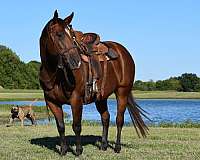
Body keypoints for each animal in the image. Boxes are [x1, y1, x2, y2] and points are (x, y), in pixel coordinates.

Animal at [39, 10, 148, 156]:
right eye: (59, 34)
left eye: (72, 36)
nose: (76, 61)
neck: (54, 75)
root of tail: (124, 52)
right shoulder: (52, 102)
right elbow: (61, 126)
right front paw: (63, 150)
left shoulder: (76, 100)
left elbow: (76, 126)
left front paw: (78, 150)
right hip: (101, 97)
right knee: (105, 118)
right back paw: (104, 145)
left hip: (122, 92)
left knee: (119, 120)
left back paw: (117, 147)